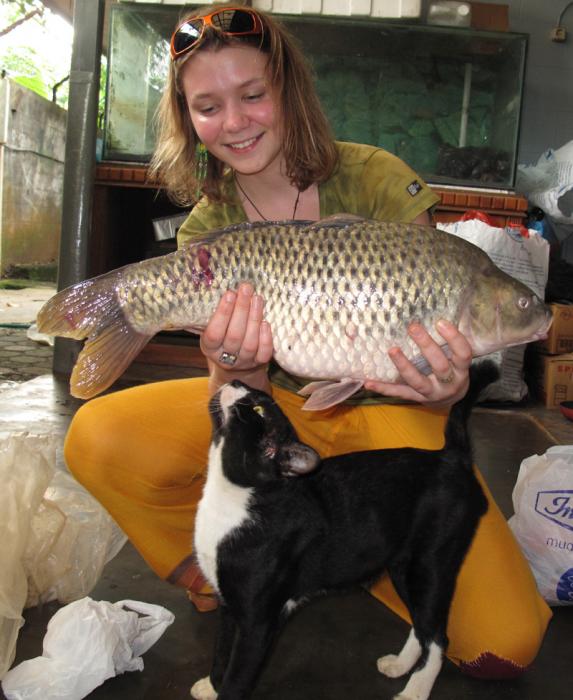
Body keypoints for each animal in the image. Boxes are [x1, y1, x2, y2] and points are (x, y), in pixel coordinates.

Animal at [192, 364, 496, 696]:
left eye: (259, 409)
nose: (236, 379)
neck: (239, 497)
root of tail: (450, 457)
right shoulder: (227, 602)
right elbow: (222, 649)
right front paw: (212, 686)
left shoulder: (257, 622)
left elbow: (237, 678)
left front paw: (222, 689)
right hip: (404, 568)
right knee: (422, 624)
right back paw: (400, 665)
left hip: (431, 566)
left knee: (438, 636)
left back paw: (415, 691)